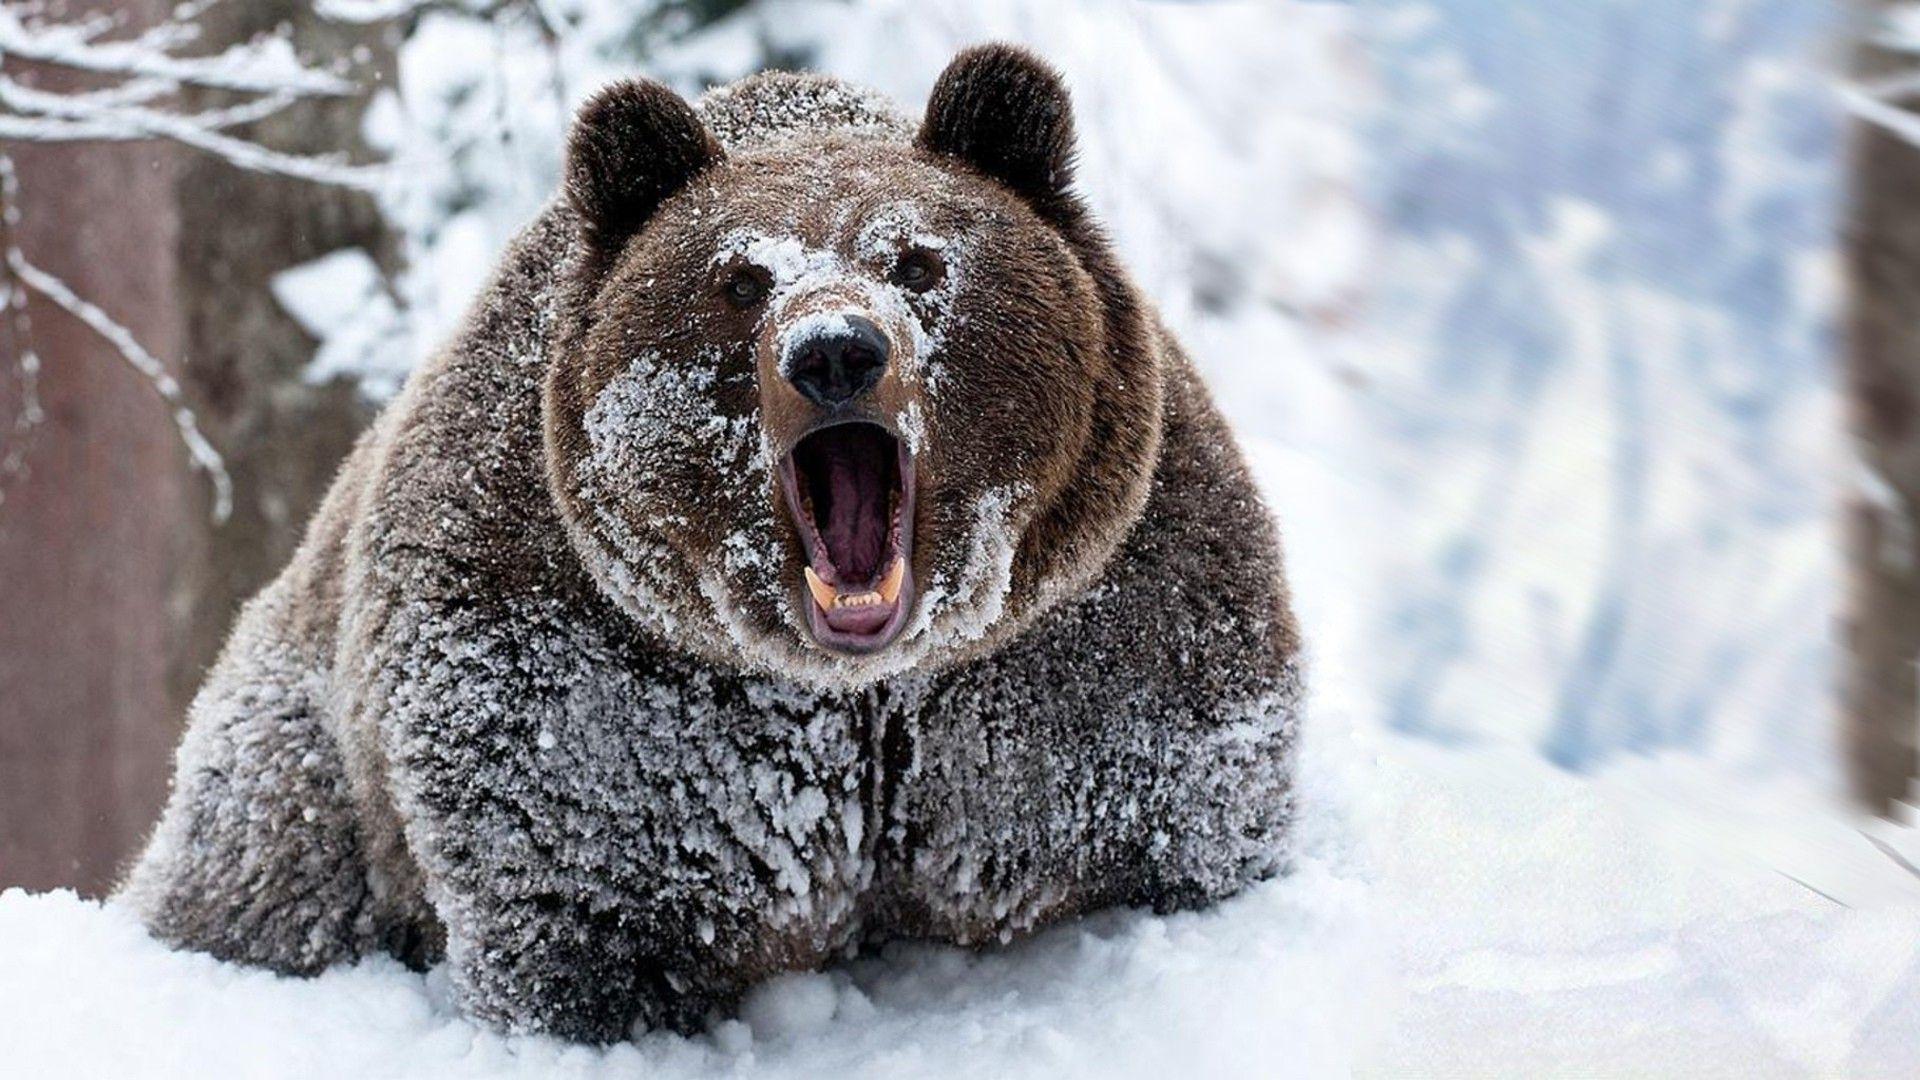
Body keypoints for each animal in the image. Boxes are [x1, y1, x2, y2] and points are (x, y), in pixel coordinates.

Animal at [117, 45, 1304, 1042]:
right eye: (739, 279)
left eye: (919, 260)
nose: (836, 351)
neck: (858, 690)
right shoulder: (591, 681)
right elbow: (581, 903)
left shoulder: (1087, 646)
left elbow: (1172, 815)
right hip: (299, 754)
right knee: (265, 870)